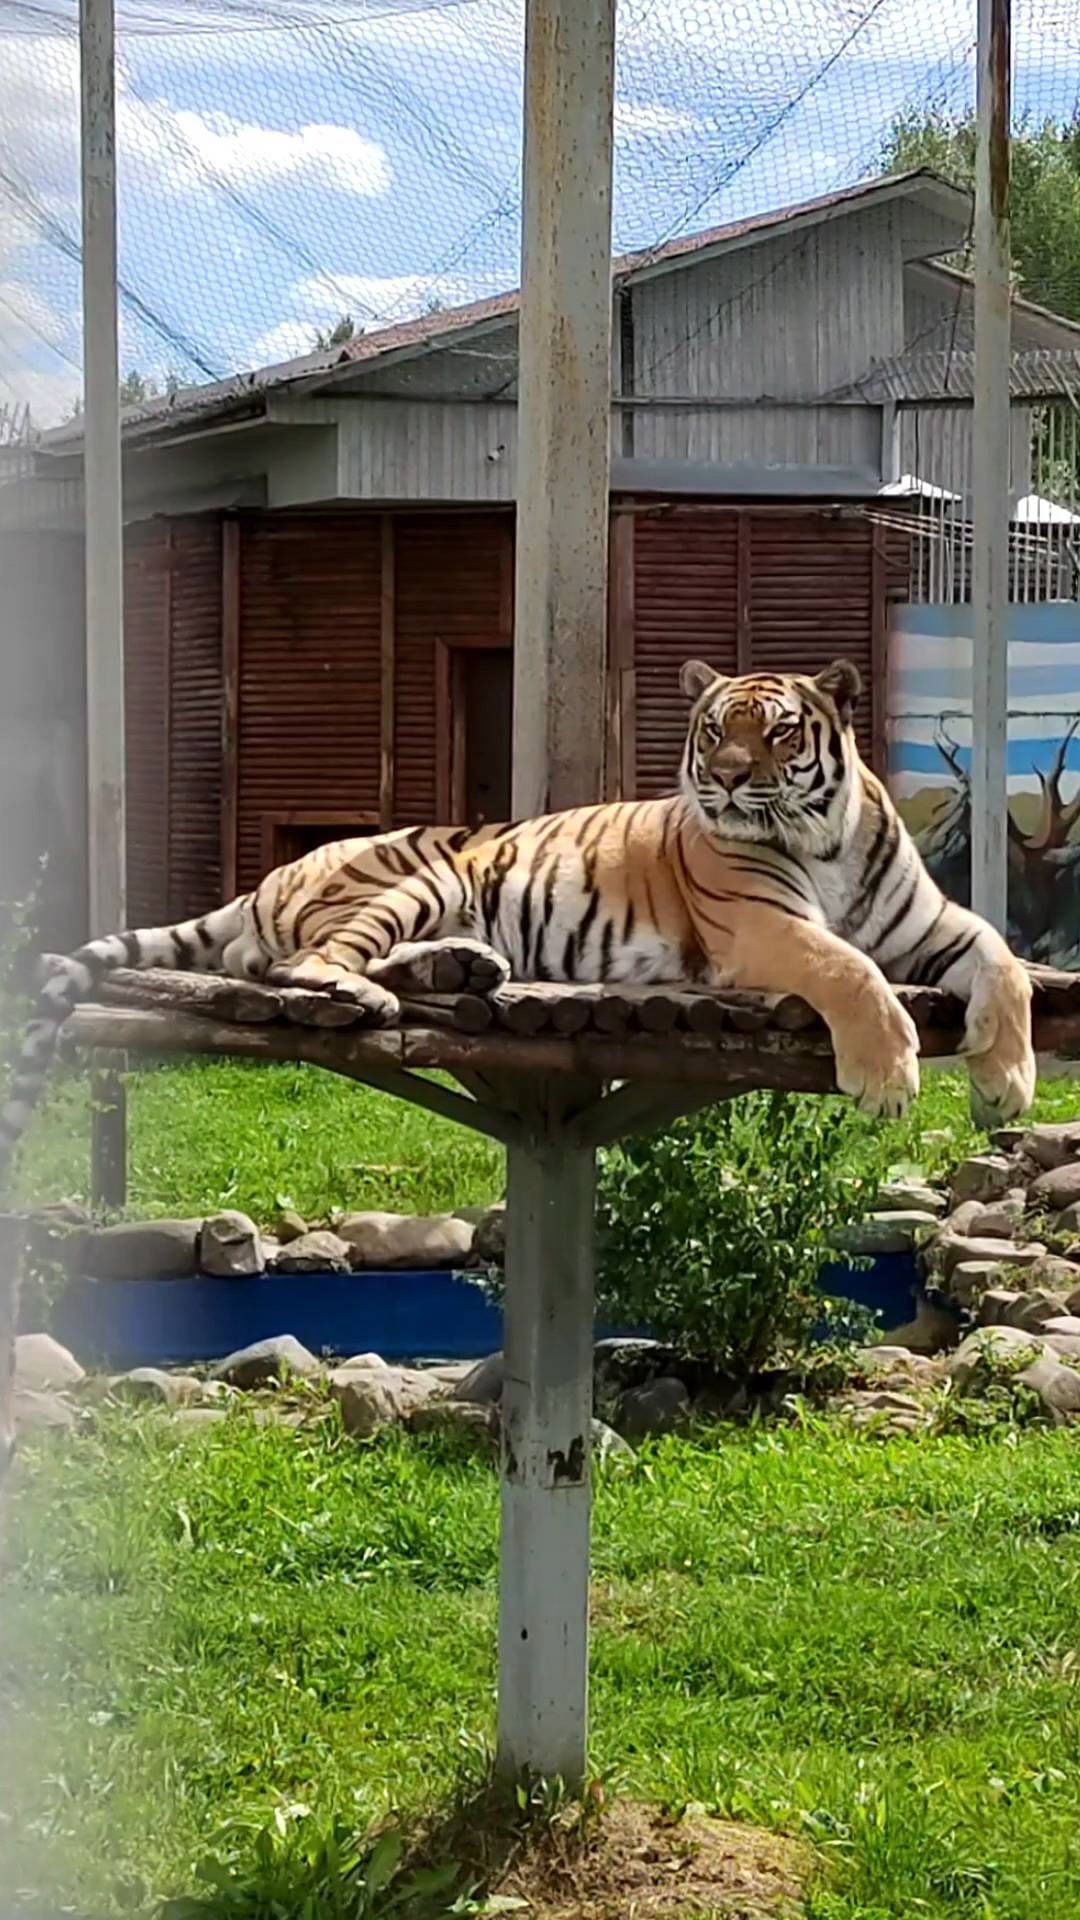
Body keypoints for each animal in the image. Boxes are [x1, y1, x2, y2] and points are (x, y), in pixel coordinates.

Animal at [0, 654, 1035, 1192]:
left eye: (779, 730)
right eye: (713, 730)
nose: (729, 778)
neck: (822, 834)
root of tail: (265, 882)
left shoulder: (931, 922)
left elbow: (1007, 961)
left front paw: (1008, 1082)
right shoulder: (763, 929)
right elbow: (851, 971)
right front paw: (890, 1080)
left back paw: (461, 972)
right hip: (412, 876)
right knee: (297, 967)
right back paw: (367, 994)